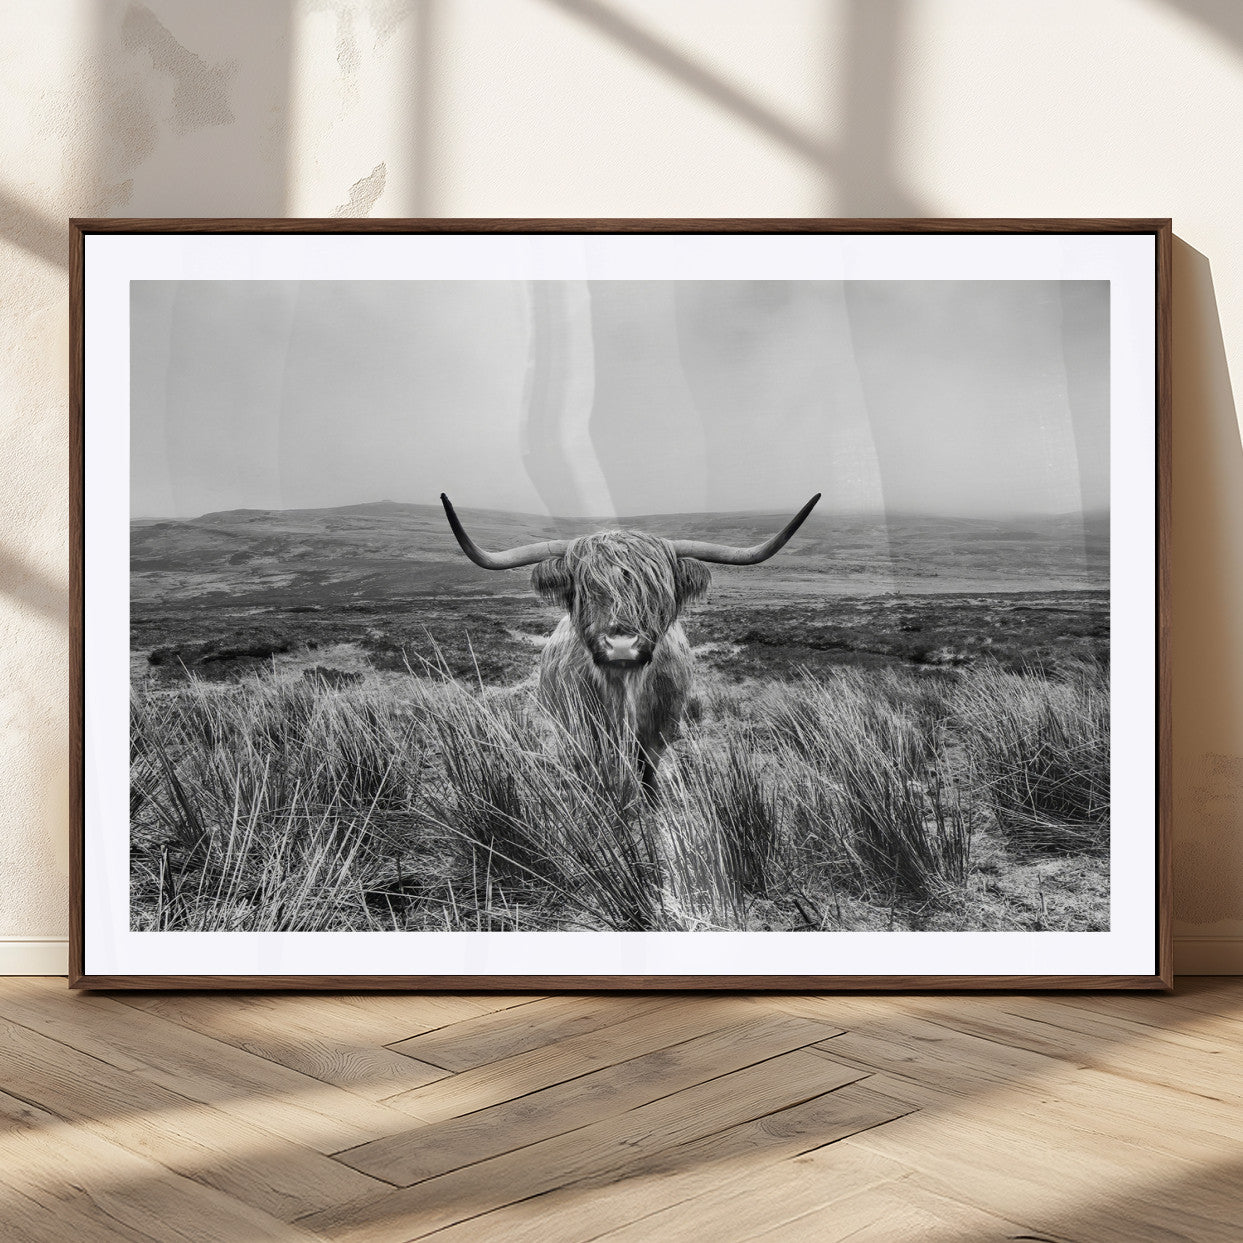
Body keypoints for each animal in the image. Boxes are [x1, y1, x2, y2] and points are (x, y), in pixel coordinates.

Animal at [440, 492, 821, 792]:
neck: (624, 691)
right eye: (585, 588)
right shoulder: (581, 734)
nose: (621, 645)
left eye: (656, 590)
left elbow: (648, 776)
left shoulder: (658, 735)